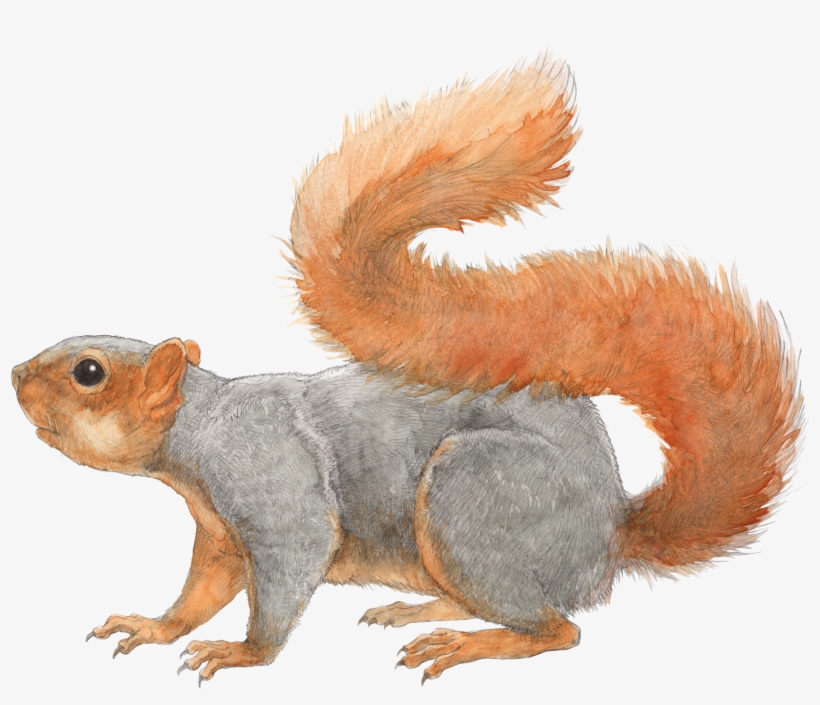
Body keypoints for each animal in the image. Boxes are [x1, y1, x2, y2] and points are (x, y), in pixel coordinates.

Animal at [11, 54, 802, 686]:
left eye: (88, 372)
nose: (14, 375)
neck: (198, 431)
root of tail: (610, 533)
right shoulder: (218, 534)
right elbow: (200, 591)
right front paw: (153, 625)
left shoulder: (272, 487)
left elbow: (289, 569)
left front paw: (242, 654)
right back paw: (419, 607)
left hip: (473, 496)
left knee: (558, 627)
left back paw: (465, 643)